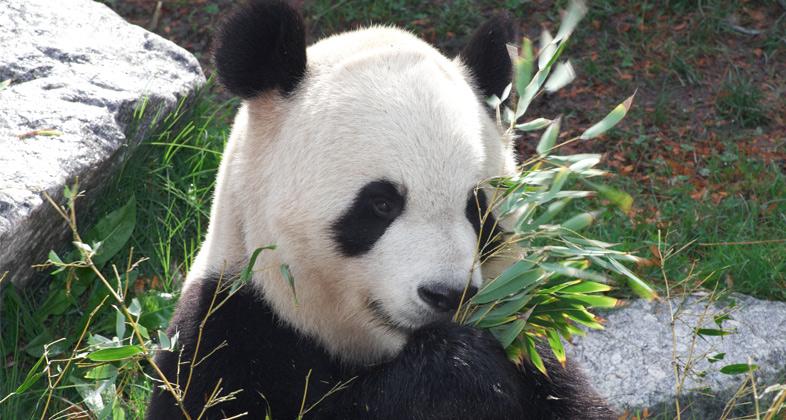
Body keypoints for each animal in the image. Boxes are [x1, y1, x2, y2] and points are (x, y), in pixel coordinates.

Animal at [147, 1, 612, 418]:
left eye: (477, 209)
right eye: (382, 204)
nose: (449, 294)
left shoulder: (531, 346)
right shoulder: (229, 329)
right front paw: (457, 369)